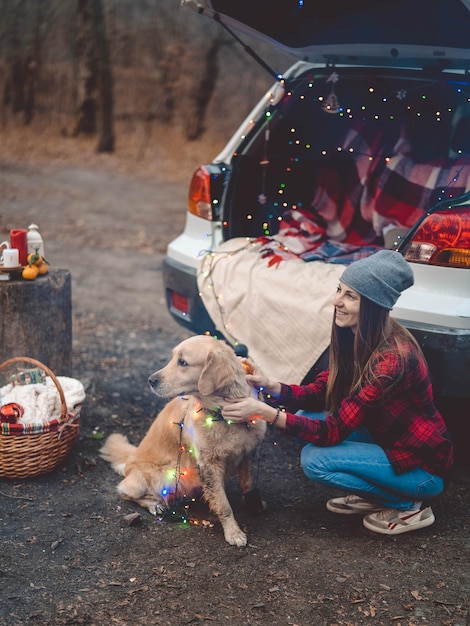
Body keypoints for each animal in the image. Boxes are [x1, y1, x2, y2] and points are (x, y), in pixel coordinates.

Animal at [100, 334, 266, 544]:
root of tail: (130, 459)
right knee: (125, 492)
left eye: (182, 362)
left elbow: (248, 485)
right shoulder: (208, 465)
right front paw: (233, 532)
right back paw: (154, 504)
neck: (224, 416)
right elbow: (223, 504)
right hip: (162, 477)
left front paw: (254, 505)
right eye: (173, 358)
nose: (150, 380)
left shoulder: (247, 454)